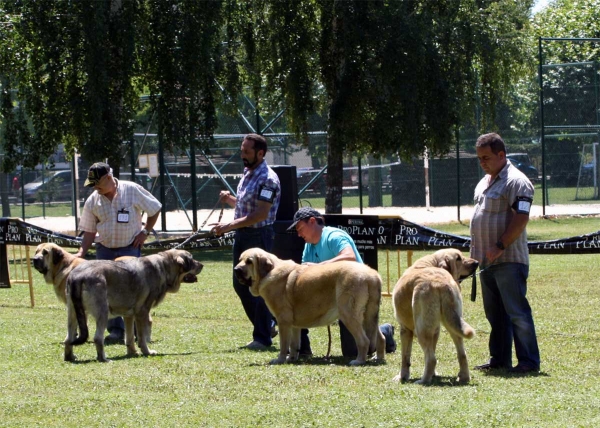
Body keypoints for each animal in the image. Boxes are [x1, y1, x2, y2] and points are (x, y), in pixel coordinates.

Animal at [63, 249, 204, 362]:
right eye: (192, 260)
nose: (202, 265)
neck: (164, 267)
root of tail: (77, 275)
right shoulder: (142, 313)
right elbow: (141, 338)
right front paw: (147, 352)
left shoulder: (128, 316)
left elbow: (129, 338)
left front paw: (133, 353)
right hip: (103, 313)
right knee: (98, 338)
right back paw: (104, 359)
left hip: (73, 315)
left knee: (68, 339)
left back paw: (70, 358)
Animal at [234, 247, 384, 364]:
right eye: (240, 259)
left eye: (249, 262)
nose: (236, 269)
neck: (269, 272)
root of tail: (372, 275)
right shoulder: (293, 325)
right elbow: (294, 344)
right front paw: (291, 359)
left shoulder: (283, 321)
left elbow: (284, 344)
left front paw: (280, 359)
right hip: (368, 317)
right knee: (380, 337)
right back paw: (378, 358)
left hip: (349, 315)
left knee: (364, 340)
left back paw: (359, 361)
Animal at [394, 247, 478, 384]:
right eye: (458, 258)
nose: (477, 263)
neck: (431, 262)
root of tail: (441, 283)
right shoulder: (436, 330)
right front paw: (434, 374)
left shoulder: (405, 329)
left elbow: (405, 357)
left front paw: (402, 377)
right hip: (453, 325)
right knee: (462, 354)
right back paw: (463, 377)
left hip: (421, 330)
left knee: (431, 358)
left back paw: (423, 381)